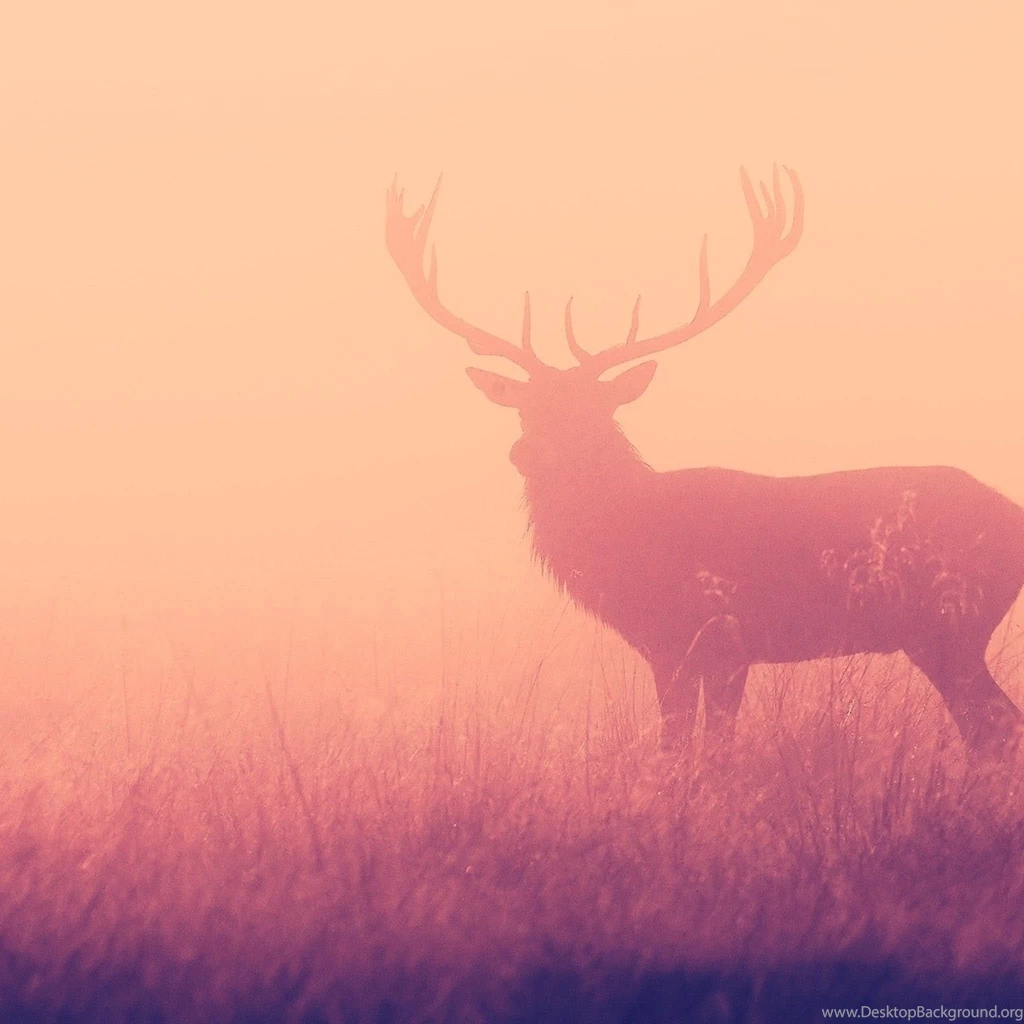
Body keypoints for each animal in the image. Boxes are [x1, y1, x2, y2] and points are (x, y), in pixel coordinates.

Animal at [384, 167, 1024, 761]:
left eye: (592, 409)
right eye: (525, 409)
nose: (525, 454)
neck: (632, 548)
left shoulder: (712, 639)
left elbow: (696, 752)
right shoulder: (681, 648)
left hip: (951, 626)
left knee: (996, 728)